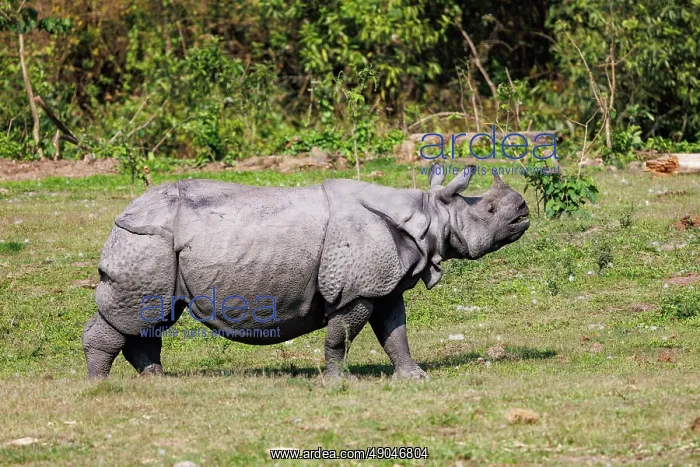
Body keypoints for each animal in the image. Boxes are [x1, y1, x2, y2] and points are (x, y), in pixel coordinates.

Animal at [82, 167, 530, 379]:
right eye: (490, 210)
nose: (524, 210)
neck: (426, 216)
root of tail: (123, 211)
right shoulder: (355, 290)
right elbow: (340, 336)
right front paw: (336, 383)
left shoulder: (380, 284)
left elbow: (395, 333)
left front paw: (414, 378)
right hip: (147, 241)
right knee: (135, 314)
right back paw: (100, 385)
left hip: (157, 247)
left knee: (153, 316)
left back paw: (156, 380)